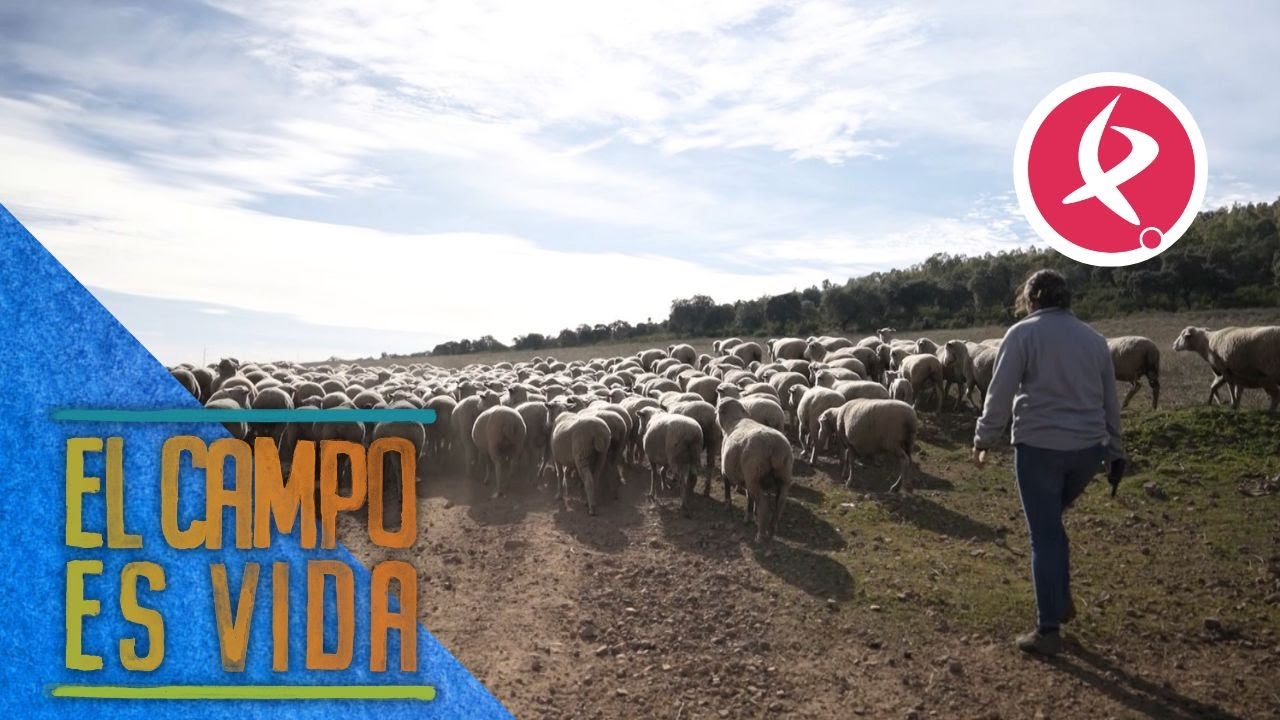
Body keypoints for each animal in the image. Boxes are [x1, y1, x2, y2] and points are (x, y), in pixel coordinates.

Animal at [716, 399, 793, 543]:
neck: (734, 420)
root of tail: (775, 447)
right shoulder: (746, 479)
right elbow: (749, 497)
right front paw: (749, 516)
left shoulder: (725, 471)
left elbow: (728, 489)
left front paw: (727, 506)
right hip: (783, 476)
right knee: (780, 502)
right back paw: (772, 529)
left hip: (754, 475)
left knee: (763, 504)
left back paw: (760, 535)